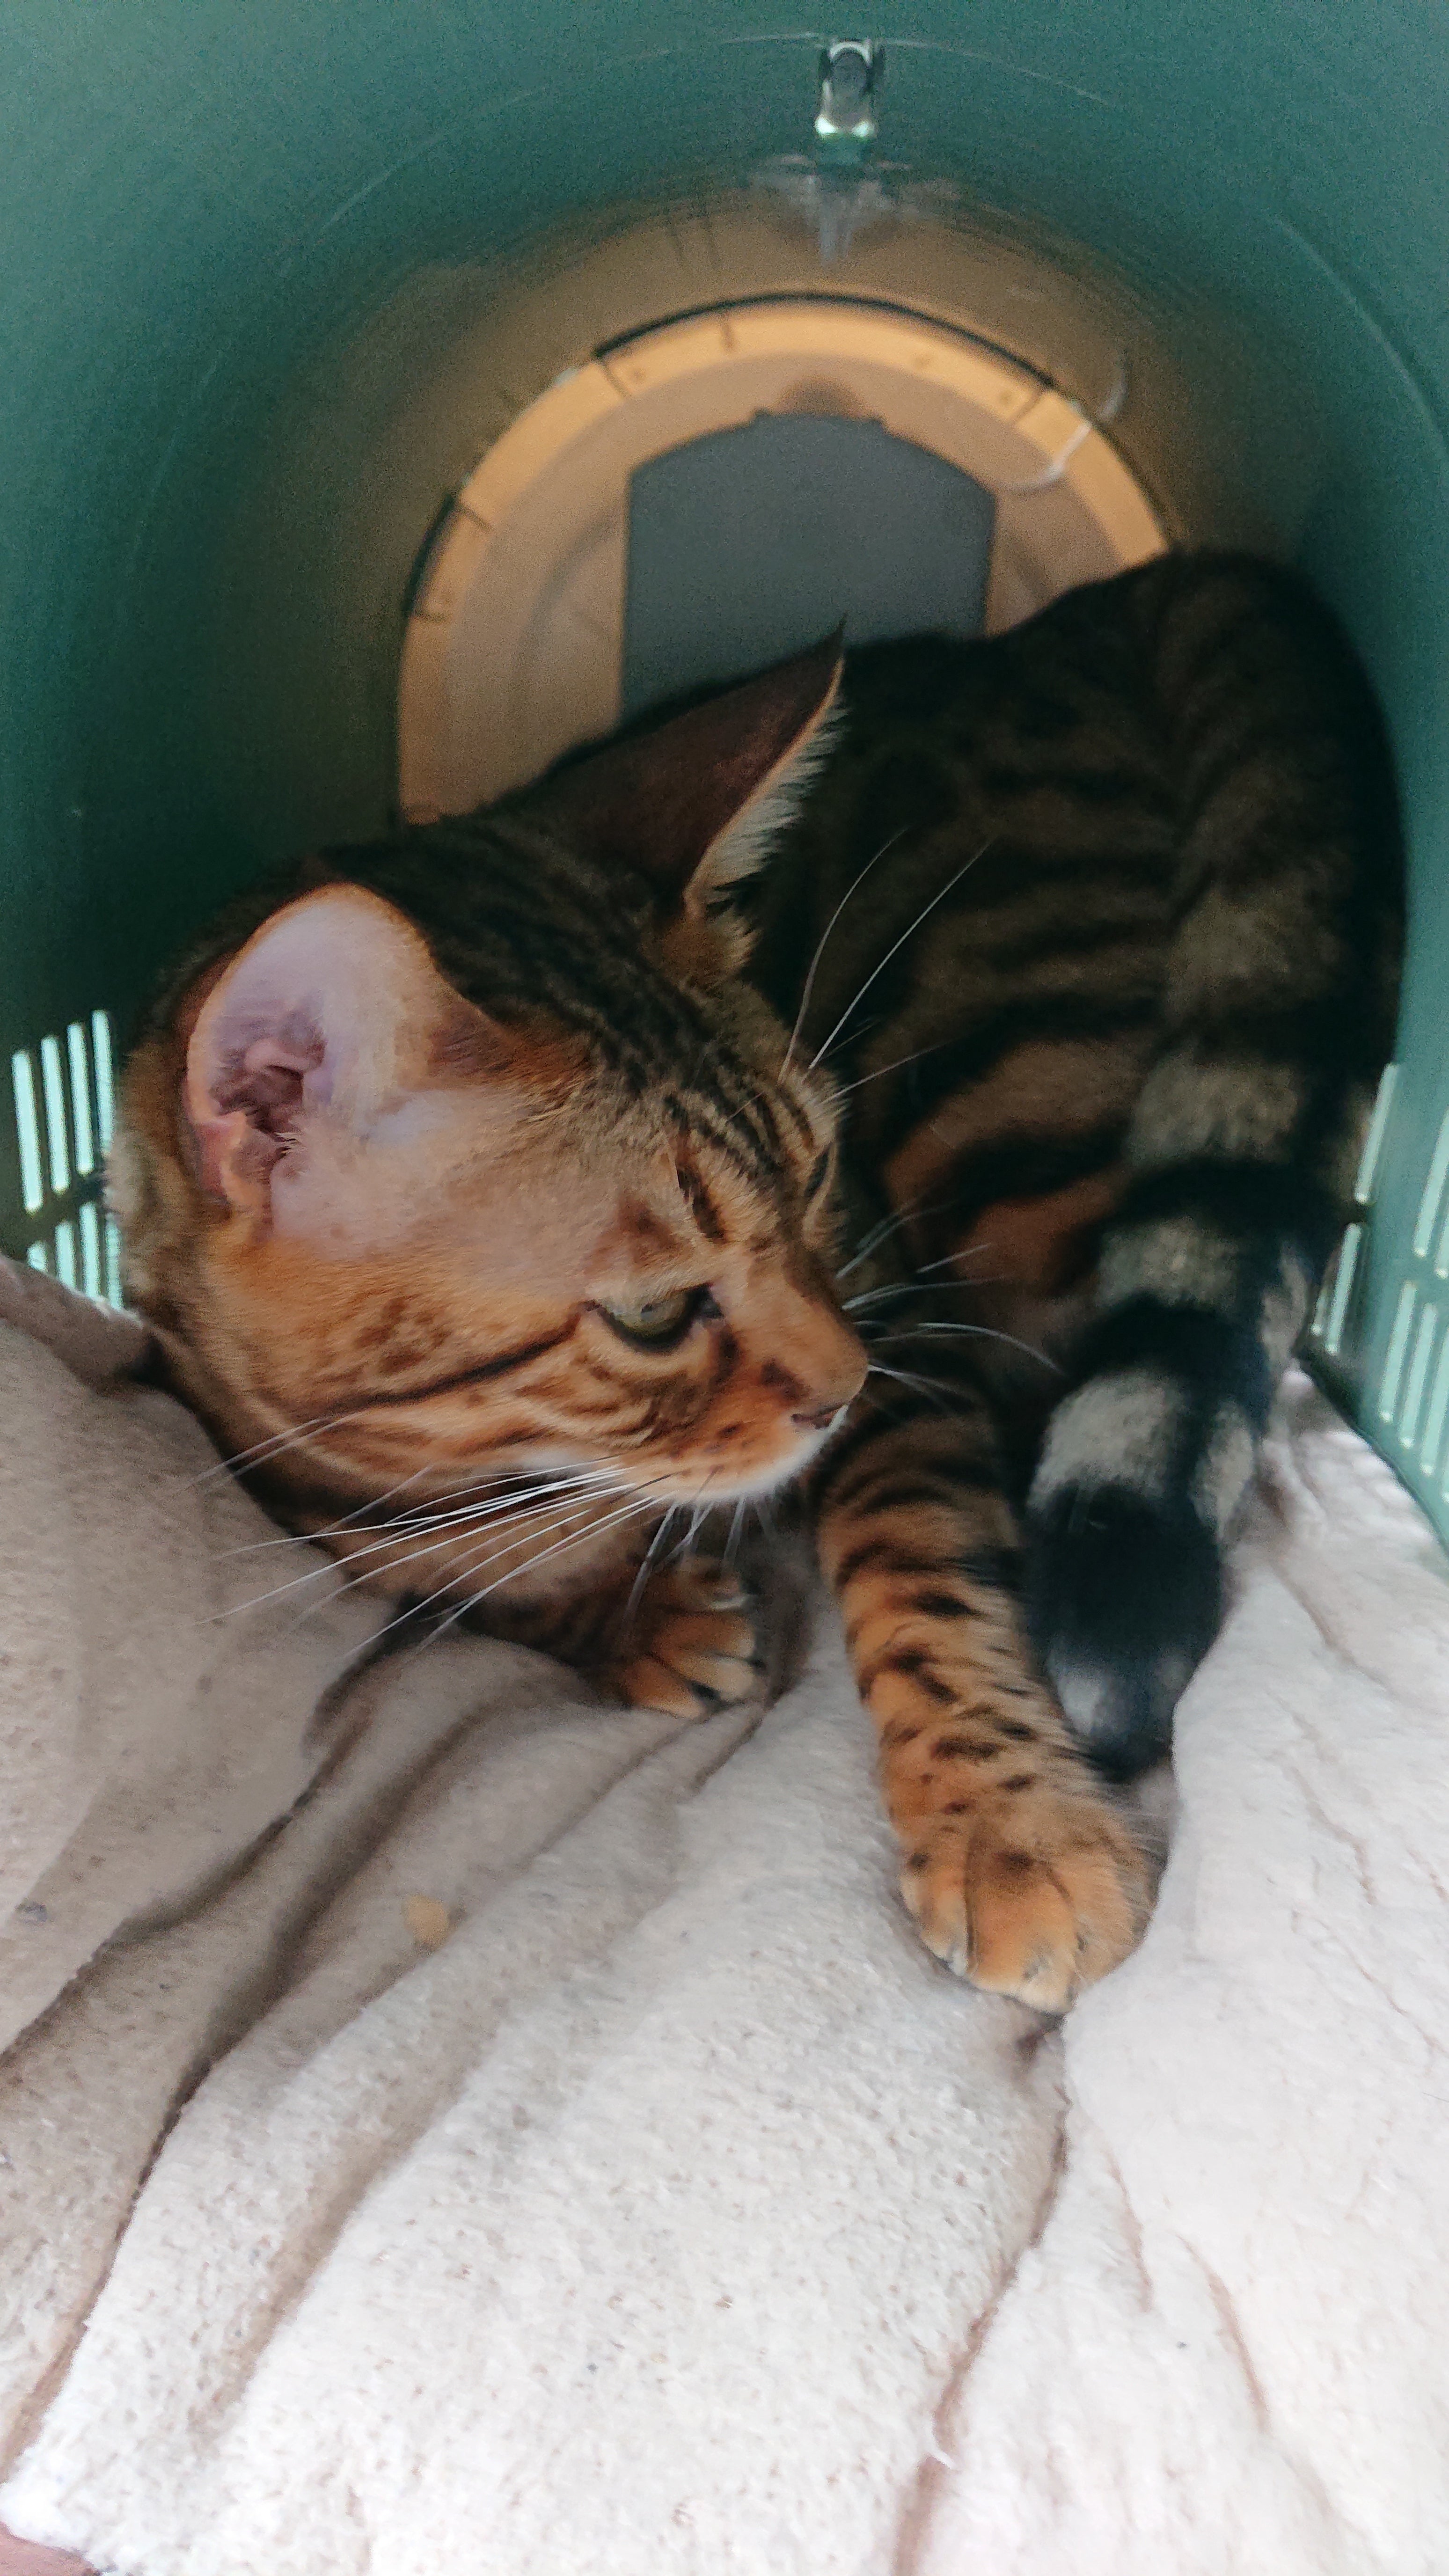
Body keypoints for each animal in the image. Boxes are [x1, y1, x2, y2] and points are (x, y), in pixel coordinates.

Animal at [112, 550, 1402, 2011]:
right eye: (654, 1313)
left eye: (820, 1173)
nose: (842, 1385)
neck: (474, 1458)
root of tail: (1057, 623)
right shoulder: (295, 1489)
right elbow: (474, 1576)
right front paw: (620, 1618)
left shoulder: (904, 1322)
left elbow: (921, 1569)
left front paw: (1009, 1823)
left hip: (1011, 1121)